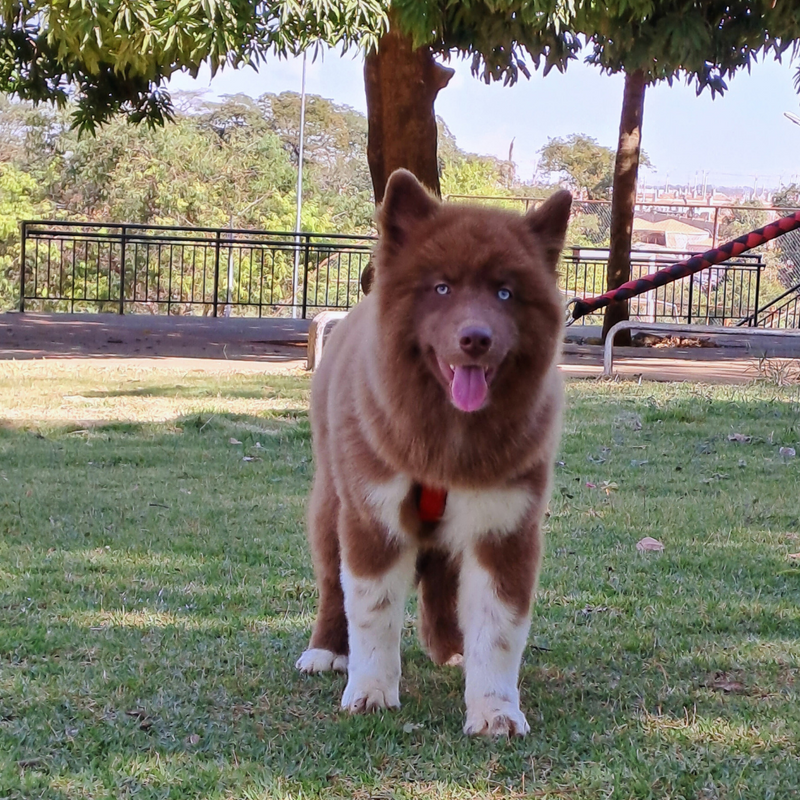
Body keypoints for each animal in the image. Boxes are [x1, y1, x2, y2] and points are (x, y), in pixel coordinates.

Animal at [296, 170, 572, 736]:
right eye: (441, 287)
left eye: (506, 292)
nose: (476, 338)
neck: (447, 439)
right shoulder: (373, 512)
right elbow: (371, 610)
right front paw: (370, 691)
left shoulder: (505, 525)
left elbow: (500, 628)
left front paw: (495, 710)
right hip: (331, 500)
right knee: (332, 585)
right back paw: (326, 651)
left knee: (444, 576)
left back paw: (450, 648)